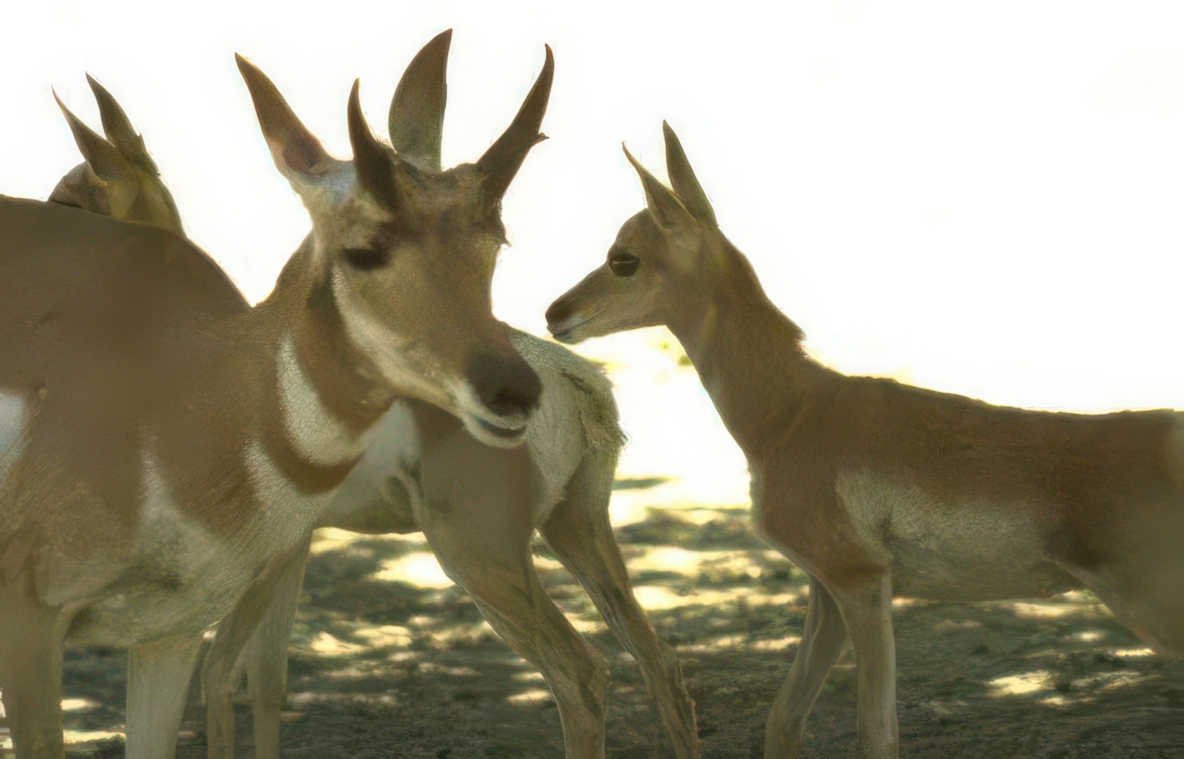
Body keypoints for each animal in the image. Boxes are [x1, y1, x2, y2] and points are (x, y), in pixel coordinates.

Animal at [39, 35, 699, 759]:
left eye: (70, 201)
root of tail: (575, 380)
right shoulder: (290, 554)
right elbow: (261, 677)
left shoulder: (271, 554)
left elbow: (224, 672)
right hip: (577, 530)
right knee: (659, 660)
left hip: (483, 557)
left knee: (581, 674)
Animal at [545, 123, 1184, 758]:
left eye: (624, 258)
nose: (555, 312)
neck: (795, 410)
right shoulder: (825, 594)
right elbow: (783, 719)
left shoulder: (862, 586)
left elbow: (875, 733)